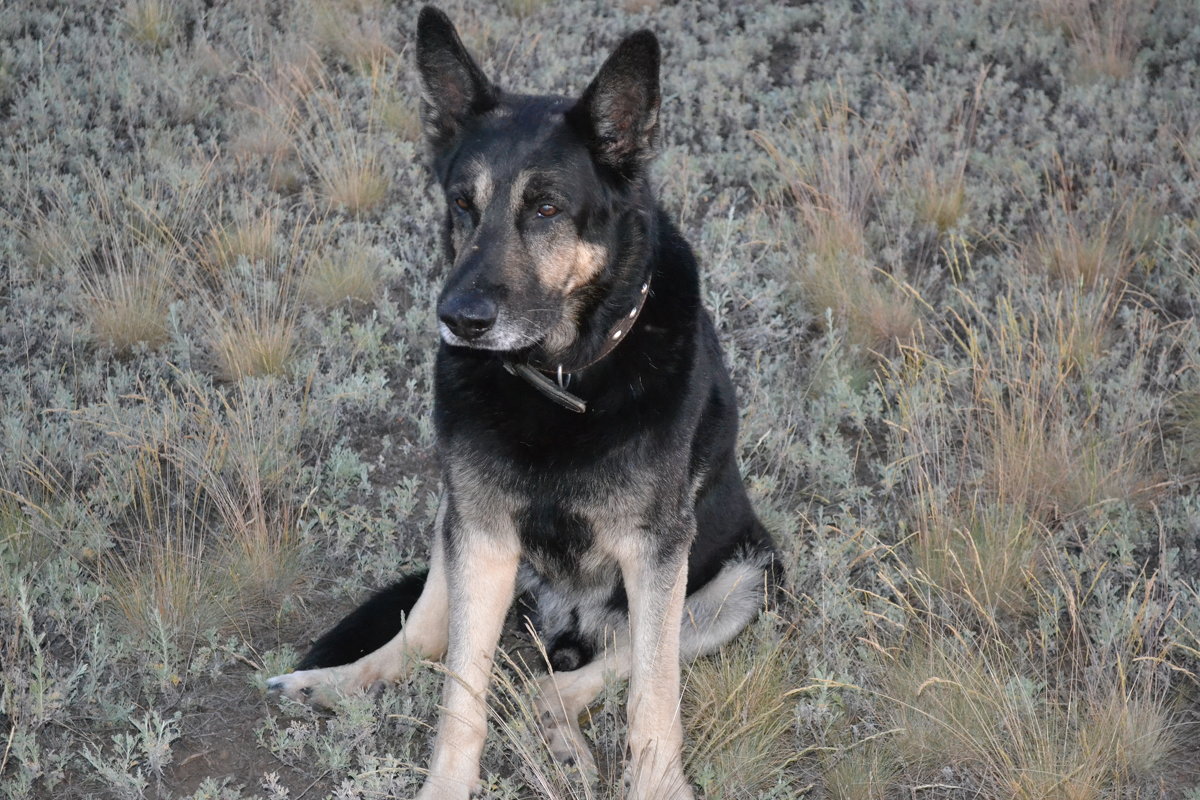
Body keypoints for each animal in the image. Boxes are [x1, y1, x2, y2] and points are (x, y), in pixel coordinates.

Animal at [265, 7, 777, 800]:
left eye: (545, 208)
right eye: (461, 204)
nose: (460, 319)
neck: (561, 381)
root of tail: (566, 618)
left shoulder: (659, 550)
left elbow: (653, 695)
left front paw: (658, 785)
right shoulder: (481, 531)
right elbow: (459, 693)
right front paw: (444, 785)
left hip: (745, 577)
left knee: (588, 672)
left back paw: (558, 732)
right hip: (457, 514)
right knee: (426, 634)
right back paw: (335, 682)